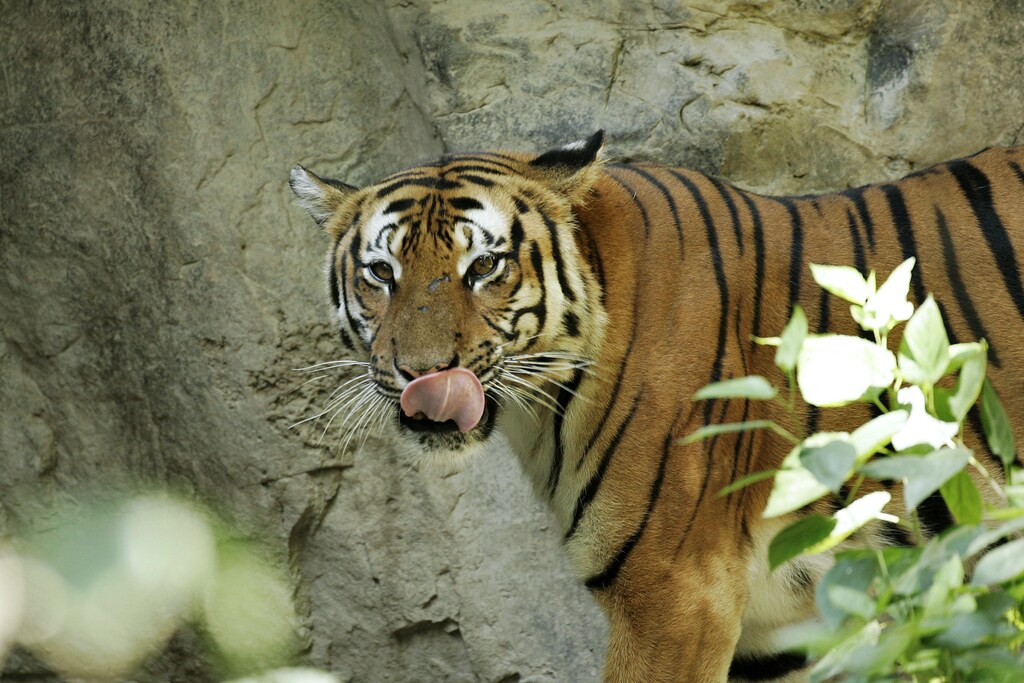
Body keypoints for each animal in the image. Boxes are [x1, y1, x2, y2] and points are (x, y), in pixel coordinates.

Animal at [289, 131, 1024, 682]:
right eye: (381, 273)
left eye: (485, 268)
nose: (423, 373)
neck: (544, 410)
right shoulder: (778, 627)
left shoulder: (674, 592)